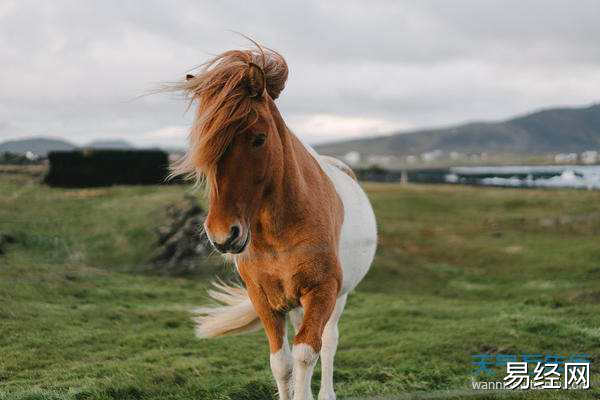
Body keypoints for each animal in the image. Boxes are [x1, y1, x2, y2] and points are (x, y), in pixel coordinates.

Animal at [169, 44, 376, 400]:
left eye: (259, 138)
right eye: (205, 145)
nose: (223, 235)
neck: (279, 232)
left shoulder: (322, 292)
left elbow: (307, 354)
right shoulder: (265, 299)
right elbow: (282, 363)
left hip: (338, 296)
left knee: (329, 342)